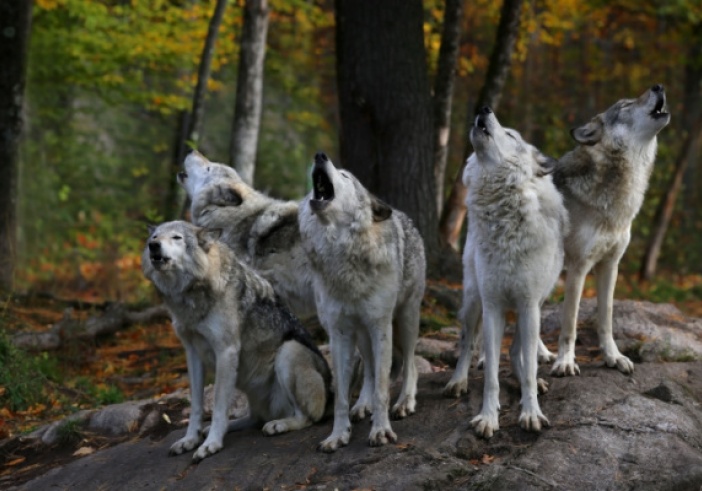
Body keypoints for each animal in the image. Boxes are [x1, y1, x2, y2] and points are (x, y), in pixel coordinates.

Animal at [142, 221, 331, 462]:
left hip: (288, 352)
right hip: (249, 385)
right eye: (155, 237)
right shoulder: (192, 353)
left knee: (306, 417)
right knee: (253, 418)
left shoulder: (226, 351)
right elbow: (197, 406)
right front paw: (190, 440)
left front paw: (211, 444)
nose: (153, 246)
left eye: (176, 237)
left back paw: (278, 424)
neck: (192, 295)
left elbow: (218, 406)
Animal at [298, 152, 426, 452]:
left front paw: (381, 431)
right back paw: (362, 406)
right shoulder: (339, 333)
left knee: (410, 364)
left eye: (346, 176)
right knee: (369, 369)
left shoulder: (380, 326)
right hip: (361, 335)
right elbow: (343, 396)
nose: (320, 155)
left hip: (405, 320)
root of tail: (404, 216)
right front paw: (338, 435)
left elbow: (382, 388)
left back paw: (404, 403)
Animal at [448, 107, 568, 438]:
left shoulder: (527, 304)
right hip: (473, 299)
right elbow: (490, 373)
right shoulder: (492, 307)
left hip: (537, 305)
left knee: (519, 352)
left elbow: (527, 367)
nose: (483, 108)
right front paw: (488, 418)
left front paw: (531, 412)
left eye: (512, 135)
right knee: (467, 341)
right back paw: (458, 381)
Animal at [551, 84, 671, 377]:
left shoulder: (610, 265)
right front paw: (566, 361)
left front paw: (613, 357)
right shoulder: (579, 267)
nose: (658, 86)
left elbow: (605, 319)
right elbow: (570, 323)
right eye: (625, 105)